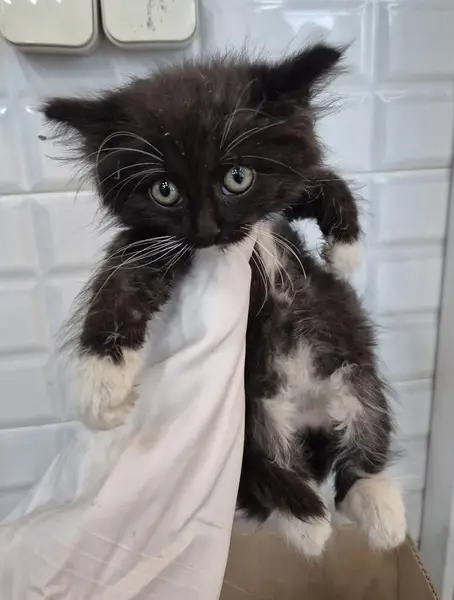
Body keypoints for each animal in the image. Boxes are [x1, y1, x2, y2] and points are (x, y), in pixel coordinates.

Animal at [42, 43, 405, 555]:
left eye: (238, 177)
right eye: (165, 190)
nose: (209, 230)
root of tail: (309, 407)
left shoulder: (283, 193)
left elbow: (319, 179)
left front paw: (344, 253)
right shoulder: (153, 242)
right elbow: (123, 281)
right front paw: (102, 386)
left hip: (356, 375)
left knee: (362, 445)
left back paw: (379, 508)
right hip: (256, 414)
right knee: (270, 469)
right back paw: (307, 522)